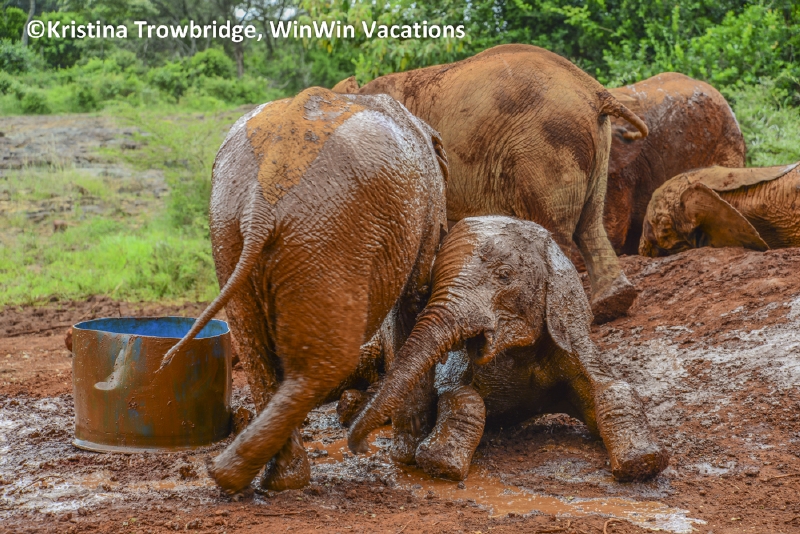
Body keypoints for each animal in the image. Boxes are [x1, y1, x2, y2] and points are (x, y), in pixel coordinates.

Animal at [160, 86, 448, 494]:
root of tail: (260, 203)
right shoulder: (426, 208)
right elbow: (413, 299)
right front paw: (408, 455)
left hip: (233, 231)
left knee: (258, 350)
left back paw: (252, 477)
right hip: (327, 237)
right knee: (324, 363)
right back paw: (254, 475)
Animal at [332, 44, 649, 323]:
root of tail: (595, 90)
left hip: (545, 146)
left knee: (555, 228)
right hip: (590, 142)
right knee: (589, 222)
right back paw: (613, 304)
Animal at [348, 216, 669, 482]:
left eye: (504, 275)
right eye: (432, 284)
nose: (359, 447)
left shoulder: (567, 338)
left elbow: (612, 387)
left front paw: (642, 461)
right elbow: (457, 393)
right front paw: (440, 463)